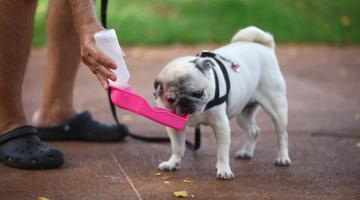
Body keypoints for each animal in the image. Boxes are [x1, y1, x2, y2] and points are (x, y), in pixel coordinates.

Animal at [153, 26, 292, 180]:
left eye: (198, 93)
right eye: (170, 99)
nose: (184, 101)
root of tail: (263, 46)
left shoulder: (221, 125)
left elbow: (222, 151)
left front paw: (223, 170)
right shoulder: (174, 128)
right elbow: (177, 148)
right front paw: (172, 163)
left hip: (276, 107)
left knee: (282, 135)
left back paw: (282, 158)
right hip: (242, 114)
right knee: (253, 131)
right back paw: (246, 152)